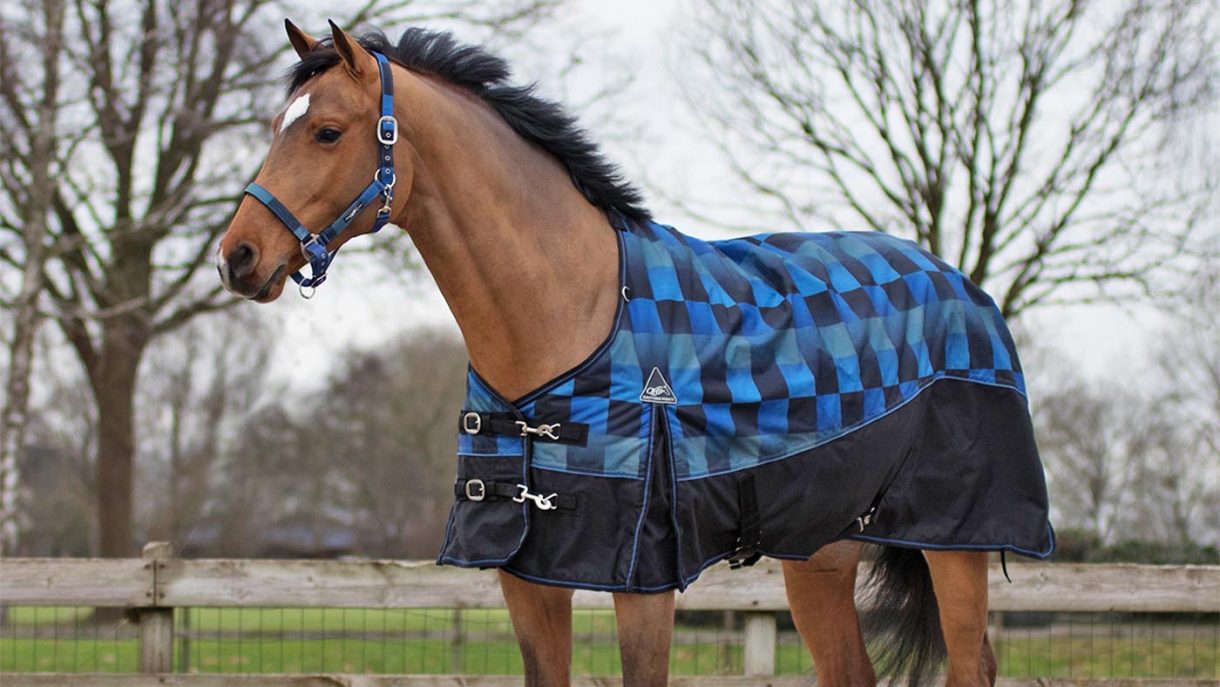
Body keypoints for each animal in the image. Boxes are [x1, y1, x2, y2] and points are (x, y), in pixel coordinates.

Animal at [218, 21, 1054, 687]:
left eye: (327, 131)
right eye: (277, 123)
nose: (238, 256)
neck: (569, 311)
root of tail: (962, 286)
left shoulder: (641, 580)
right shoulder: (528, 574)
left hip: (956, 543)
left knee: (972, 663)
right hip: (821, 552)